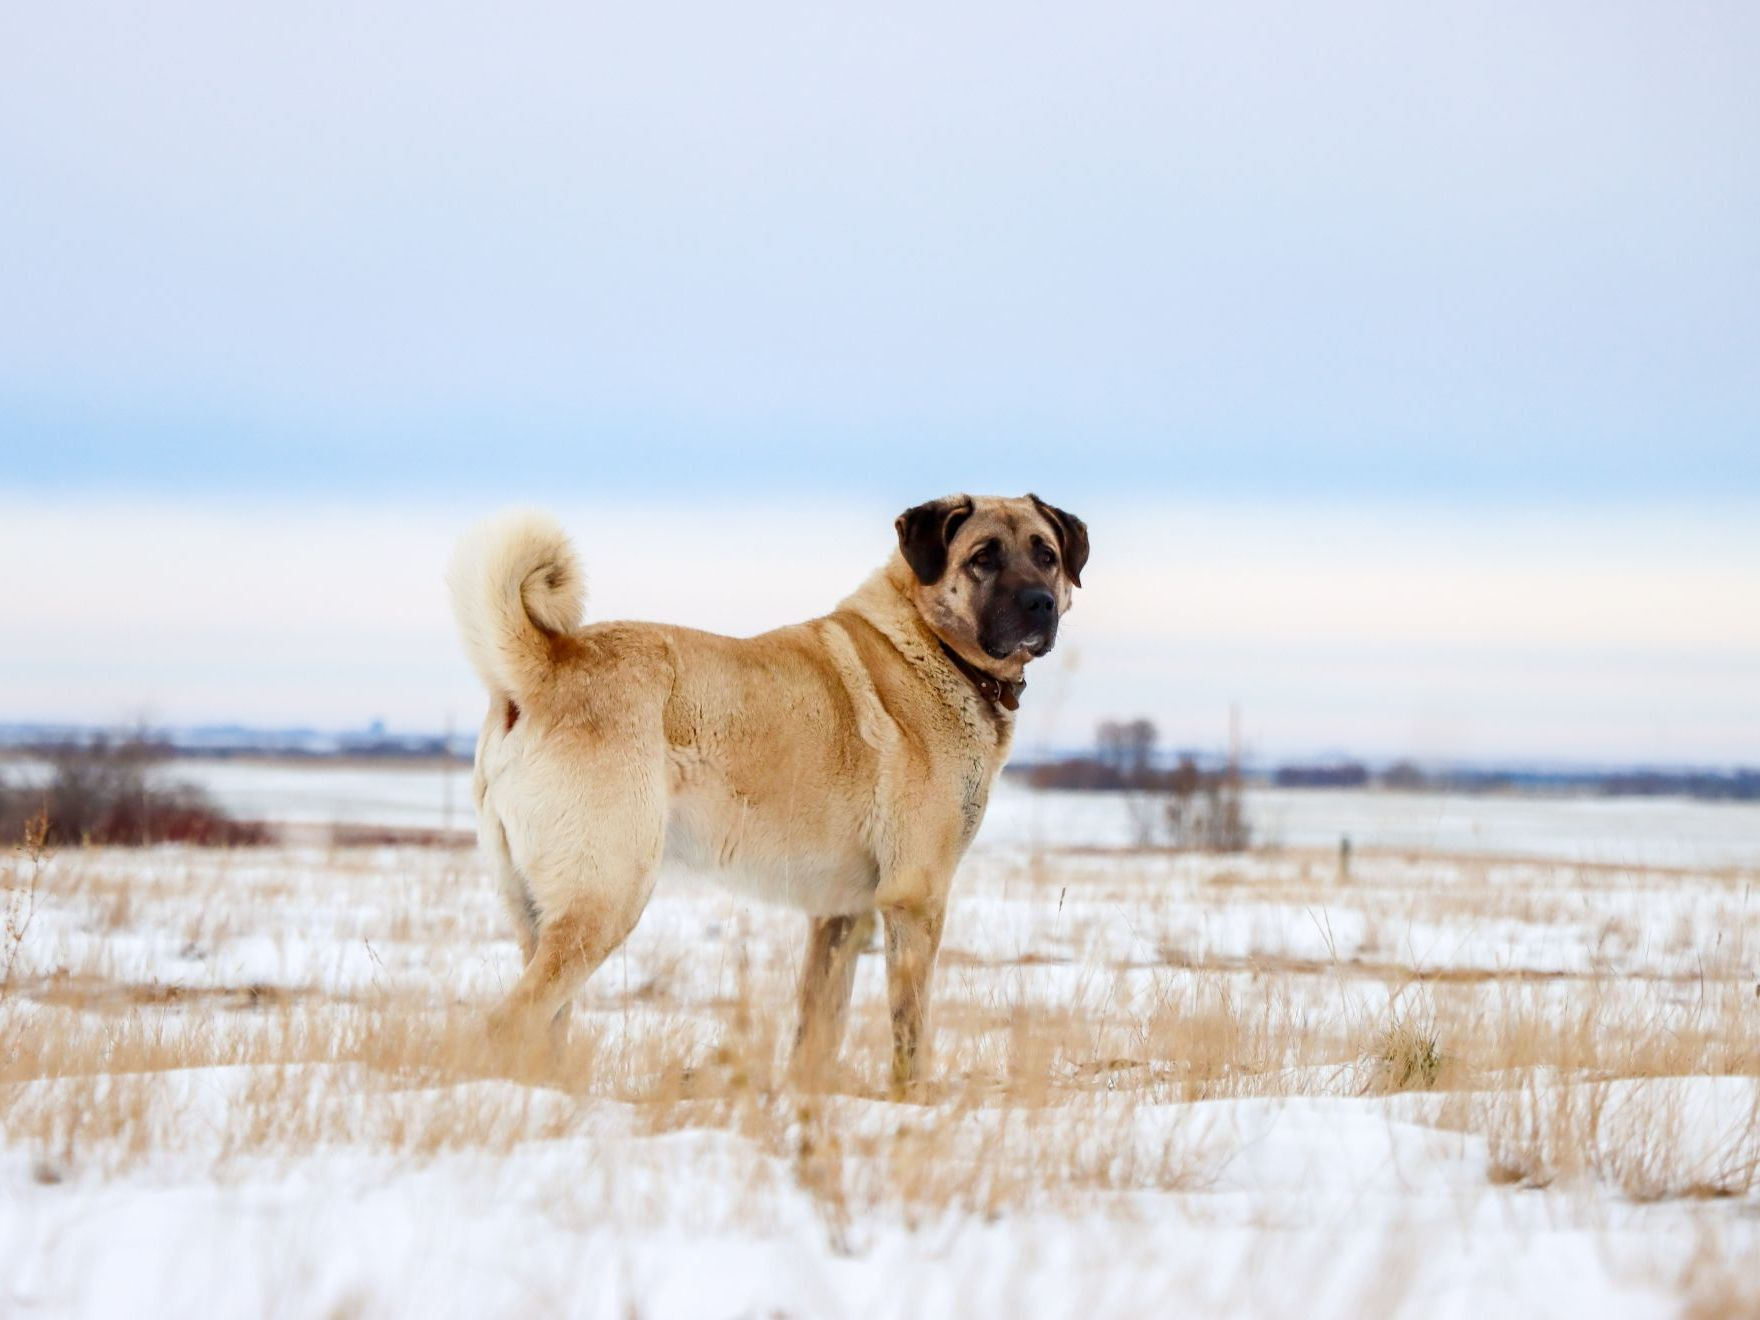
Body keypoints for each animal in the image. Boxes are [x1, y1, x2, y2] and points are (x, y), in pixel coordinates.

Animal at [443, 492, 1084, 1084]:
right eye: (982, 557)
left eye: (1046, 556)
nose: (1041, 604)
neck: (932, 642)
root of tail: (547, 665)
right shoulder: (915, 898)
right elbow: (910, 1029)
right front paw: (915, 1100)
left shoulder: (840, 914)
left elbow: (818, 1028)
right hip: (604, 900)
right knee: (510, 1021)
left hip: (539, 912)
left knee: (544, 1026)